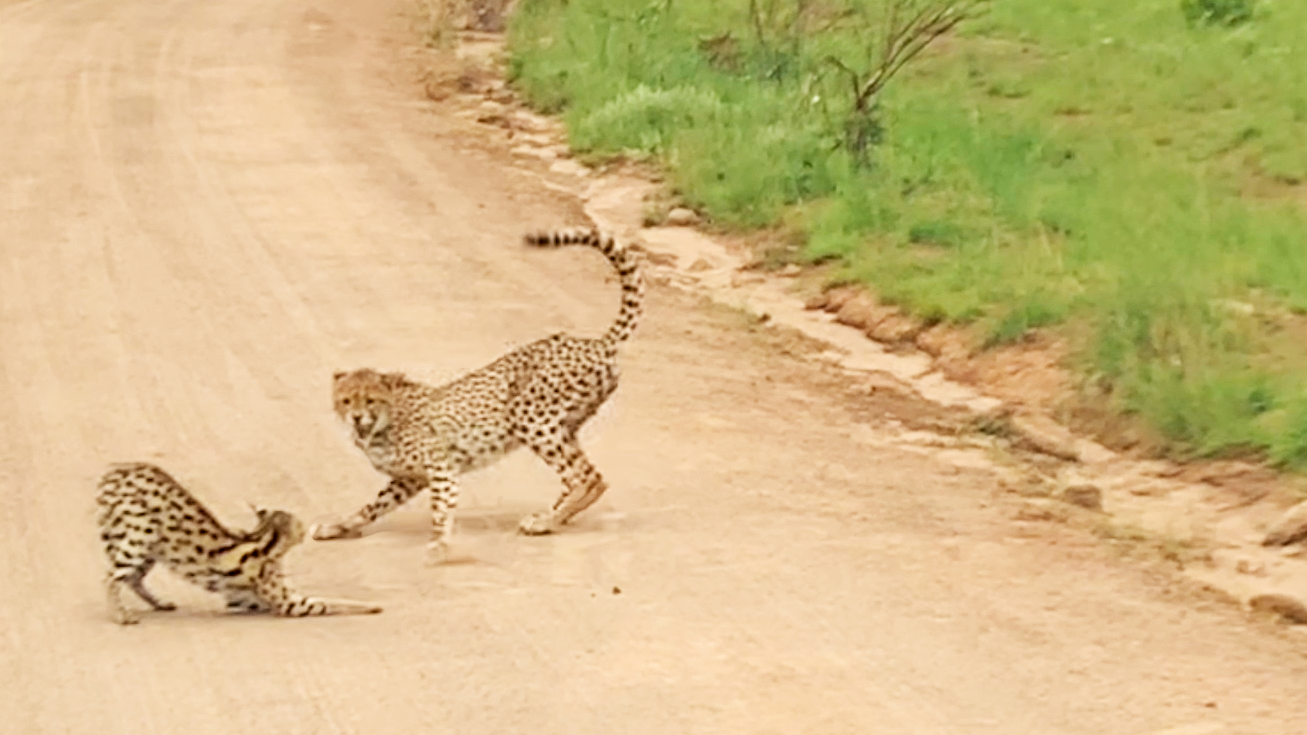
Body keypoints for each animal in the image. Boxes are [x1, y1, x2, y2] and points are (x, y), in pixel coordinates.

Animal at [96, 462, 383, 624]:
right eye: (299, 525)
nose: (305, 530)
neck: (262, 538)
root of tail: (115, 471)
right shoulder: (292, 604)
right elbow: (335, 601)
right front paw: (371, 605)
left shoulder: (245, 599)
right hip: (139, 536)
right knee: (111, 577)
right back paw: (121, 615)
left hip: (151, 547)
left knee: (132, 578)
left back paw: (158, 603)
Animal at [312, 227, 645, 561]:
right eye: (345, 401)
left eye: (371, 400)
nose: (356, 418)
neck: (385, 423)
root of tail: (596, 343)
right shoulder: (409, 479)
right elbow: (372, 507)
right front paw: (336, 527)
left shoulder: (441, 468)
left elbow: (440, 509)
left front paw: (439, 545)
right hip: (565, 426)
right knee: (586, 475)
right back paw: (550, 516)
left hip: (532, 419)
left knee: (586, 479)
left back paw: (546, 522)